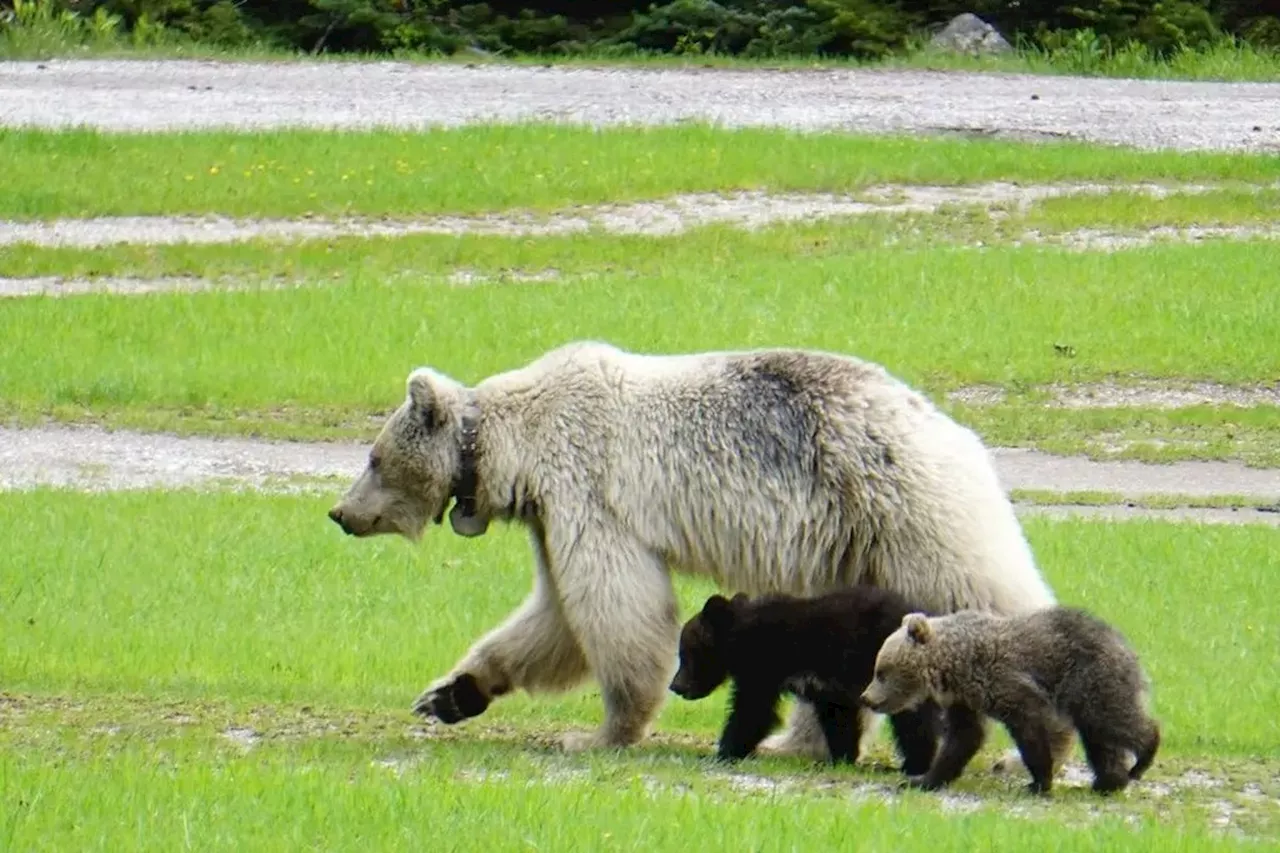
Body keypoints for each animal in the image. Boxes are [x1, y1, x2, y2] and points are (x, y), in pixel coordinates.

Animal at [325, 338, 1054, 753]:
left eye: (373, 457)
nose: (339, 513)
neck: (516, 447)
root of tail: (953, 428)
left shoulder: (588, 490)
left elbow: (615, 605)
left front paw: (600, 732)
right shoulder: (549, 516)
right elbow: (553, 618)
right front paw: (450, 693)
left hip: (905, 510)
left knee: (983, 591)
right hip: (853, 547)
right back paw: (799, 742)